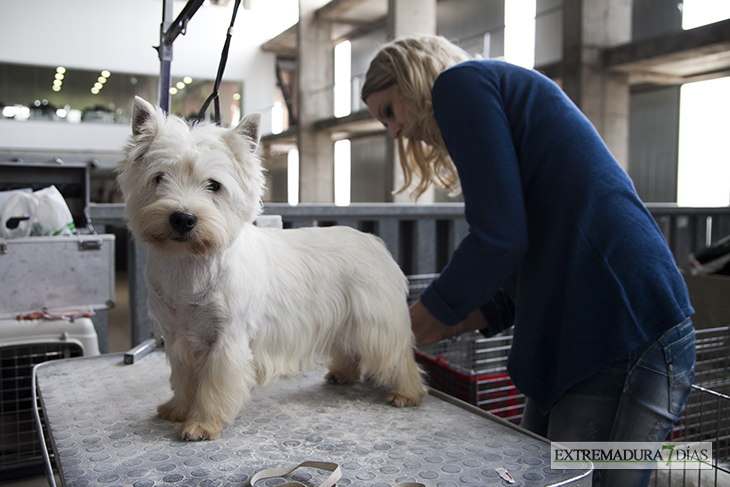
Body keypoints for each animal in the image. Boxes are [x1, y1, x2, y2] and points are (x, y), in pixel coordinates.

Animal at [116, 98, 426, 442]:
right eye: (159, 177)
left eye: (214, 185)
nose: (183, 218)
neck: (189, 265)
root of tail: (374, 241)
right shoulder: (177, 335)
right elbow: (184, 377)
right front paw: (177, 408)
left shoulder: (227, 339)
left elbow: (213, 385)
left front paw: (201, 424)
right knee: (351, 349)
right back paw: (342, 374)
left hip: (375, 321)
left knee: (398, 355)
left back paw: (406, 393)